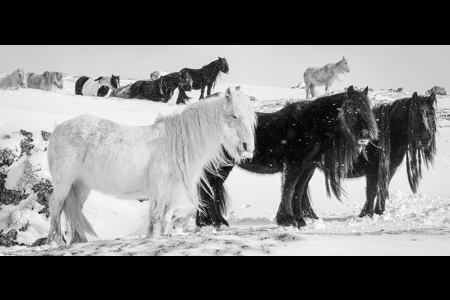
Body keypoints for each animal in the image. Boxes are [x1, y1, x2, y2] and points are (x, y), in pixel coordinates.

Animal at [45, 85, 256, 245]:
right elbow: (155, 218)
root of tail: (57, 129)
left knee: (74, 210)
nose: (248, 147)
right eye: (234, 116)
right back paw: (55, 242)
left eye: (251, 119)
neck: (176, 145)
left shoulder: (173, 193)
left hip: (81, 185)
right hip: (64, 182)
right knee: (55, 205)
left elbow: (165, 220)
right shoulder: (159, 190)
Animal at [197, 85, 380, 229]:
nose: (367, 135)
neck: (311, 124)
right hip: (219, 166)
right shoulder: (293, 164)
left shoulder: (308, 167)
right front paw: (288, 220)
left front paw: (299, 220)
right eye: (352, 109)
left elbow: (298, 191)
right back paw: (209, 222)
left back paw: (215, 221)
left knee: (212, 188)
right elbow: (290, 189)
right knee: (209, 188)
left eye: (368, 109)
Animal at [298, 90, 438, 219]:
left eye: (431, 114)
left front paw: (378, 212)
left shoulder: (389, 169)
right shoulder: (373, 170)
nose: (426, 138)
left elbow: (382, 188)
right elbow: (372, 191)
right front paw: (367, 213)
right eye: (415, 113)